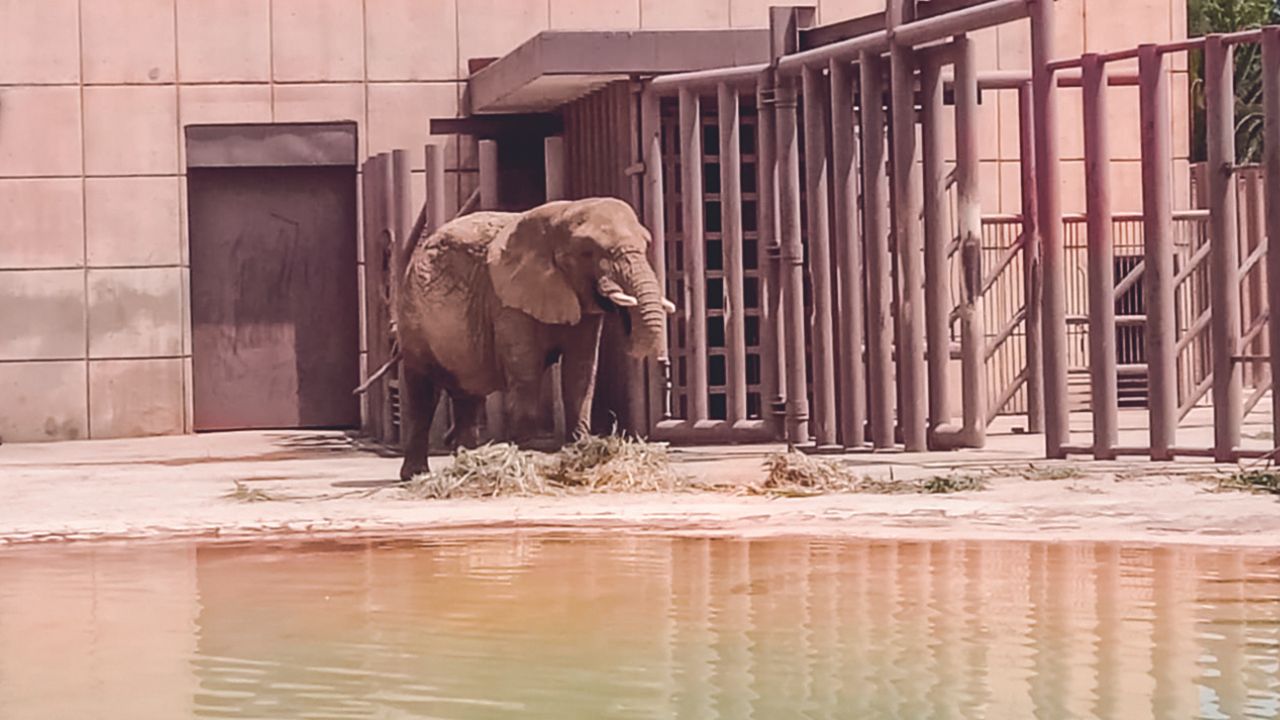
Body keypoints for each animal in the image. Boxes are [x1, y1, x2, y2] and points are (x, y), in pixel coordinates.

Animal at [396, 196, 680, 479]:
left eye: (646, 245)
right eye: (587, 252)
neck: (562, 214)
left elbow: (580, 372)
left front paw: (580, 449)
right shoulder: (507, 300)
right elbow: (527, 371)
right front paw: (525, 454)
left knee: (468, 393)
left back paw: (466, 463)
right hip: (413, 317)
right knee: (423, 393)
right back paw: (416, 474)